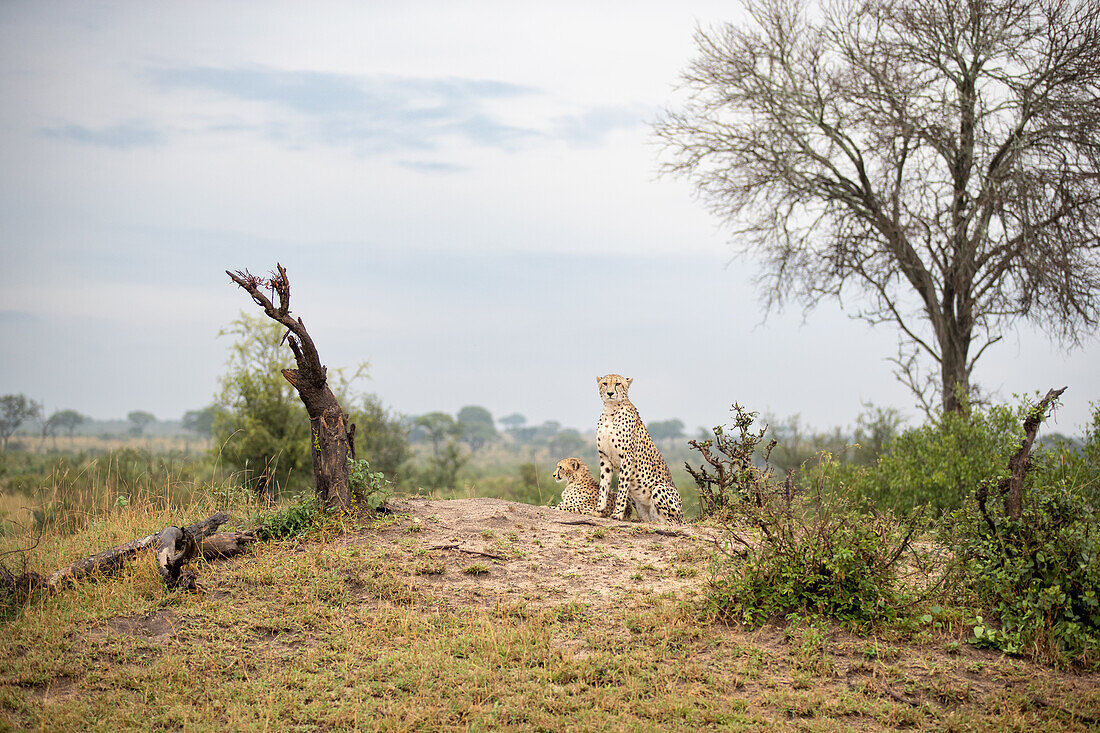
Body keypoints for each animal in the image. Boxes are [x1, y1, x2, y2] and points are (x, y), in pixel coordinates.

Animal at [598, 374, 682, 521]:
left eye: (618, 384)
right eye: (605, 383)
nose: (610, 393)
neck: (610, 411)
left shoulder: (626, 458)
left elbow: (621, 488)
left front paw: (617, 514)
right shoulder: (605, 457)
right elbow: (604, 485)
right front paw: (598, 510)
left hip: (659, 488)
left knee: (673, 522)